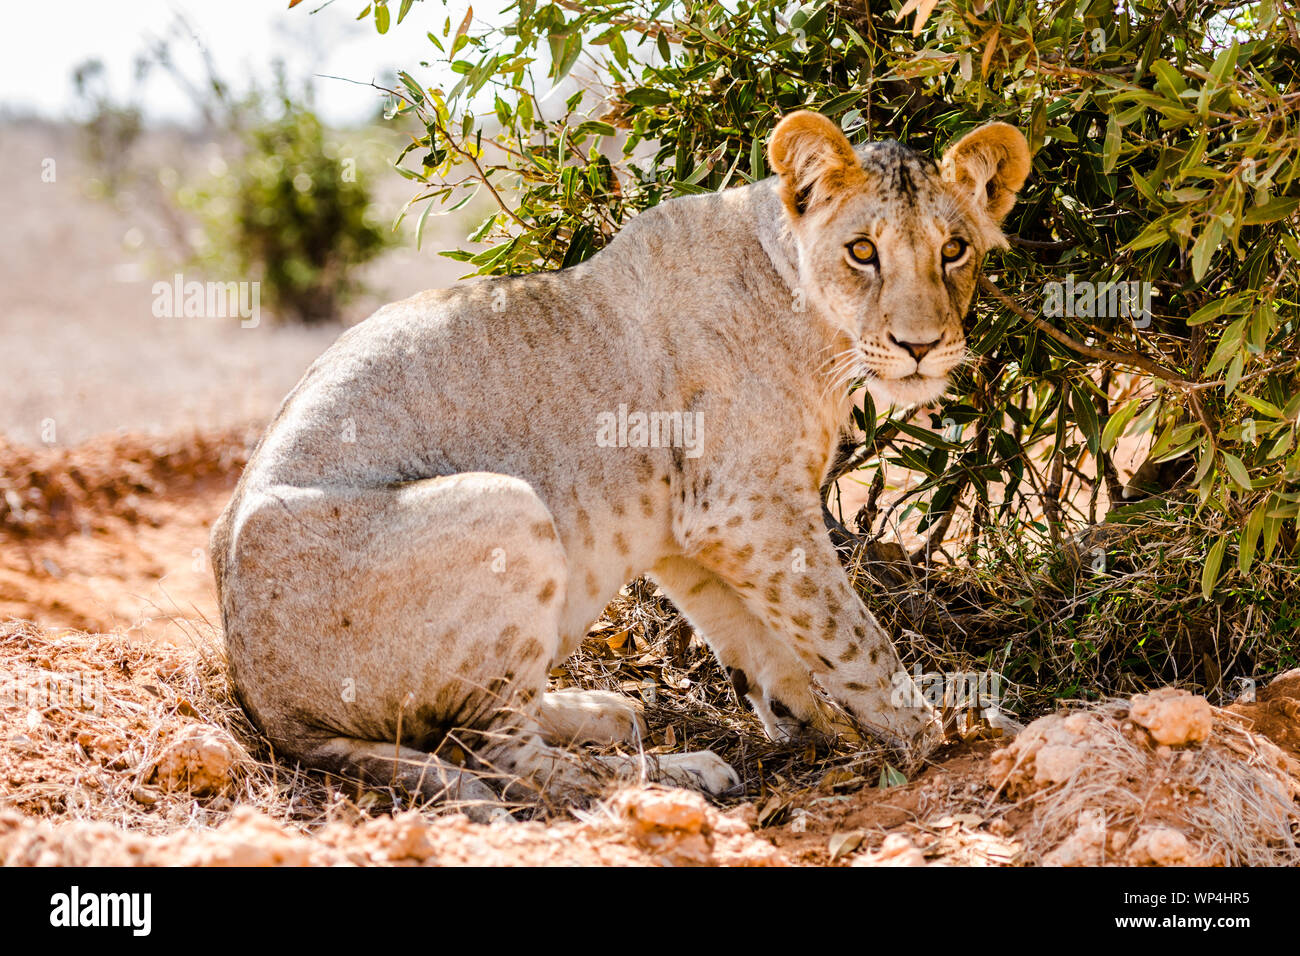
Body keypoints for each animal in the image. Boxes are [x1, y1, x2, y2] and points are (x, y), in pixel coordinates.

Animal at [210, 111, 1031, 817]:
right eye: (863, 251)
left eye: (953, 251)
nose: (922, 346)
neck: (808, 312)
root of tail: (267, 701)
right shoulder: (750, 508)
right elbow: (853, 635)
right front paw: (942, 736)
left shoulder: (698, 527)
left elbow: (762, 641)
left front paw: (811, 723)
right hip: (507, 503)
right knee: (501, 759)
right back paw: (678, 773)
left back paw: (605, 712)